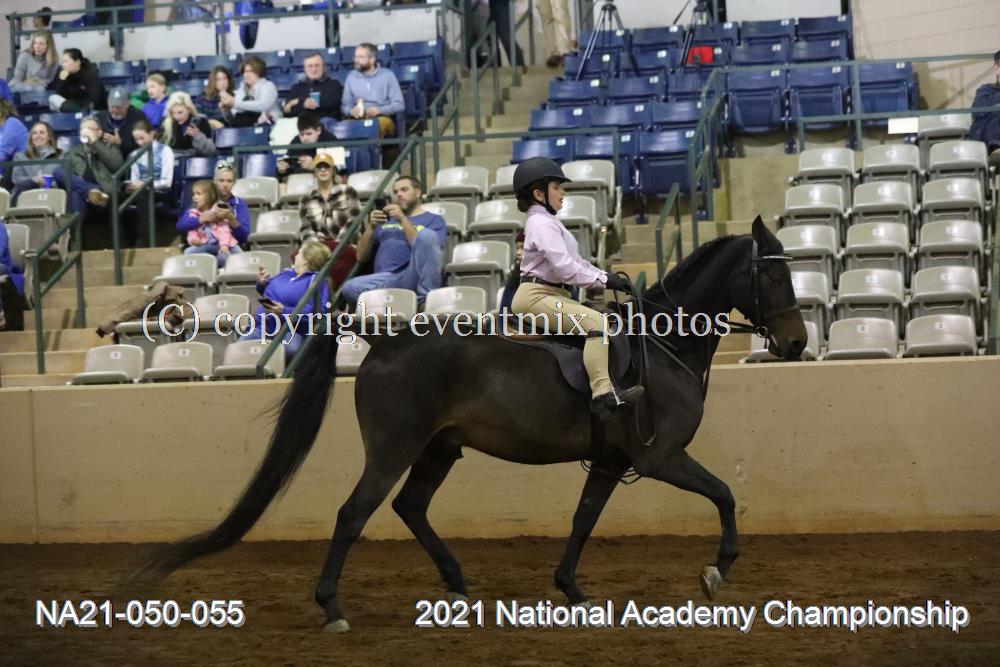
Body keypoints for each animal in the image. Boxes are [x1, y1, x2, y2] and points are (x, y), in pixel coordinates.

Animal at [135, 217, 807, 632]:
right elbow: (725, 495)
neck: (665, 346)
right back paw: (333, 609)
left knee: (409, 507)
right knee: (355, 514)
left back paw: (456, 585)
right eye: (774, 275)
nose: (798, 344)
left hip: (439, 449)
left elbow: (583, 520)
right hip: (395, 449)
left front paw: (571, 588)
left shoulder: (614, 463)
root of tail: (384, 338)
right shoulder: (660, 457)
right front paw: (718, 569)